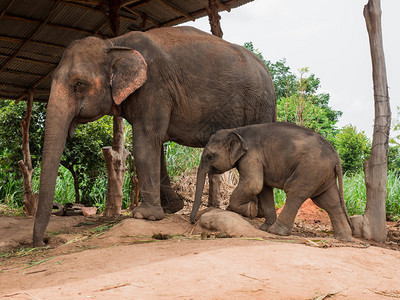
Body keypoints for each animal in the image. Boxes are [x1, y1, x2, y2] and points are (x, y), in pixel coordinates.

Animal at [32, 26, 276, 246]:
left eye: (79, 84)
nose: (42, 242)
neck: (114, 43)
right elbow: (155, 144)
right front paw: (170, 208)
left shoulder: (154, 88)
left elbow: (145, 141)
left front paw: (144, 216)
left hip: (261, 105)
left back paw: (252, 212)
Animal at [191, 122, 354, 241]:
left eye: (209, 156)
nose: (192, 222)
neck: (238, 130)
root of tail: (336, 157)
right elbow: (263, 188)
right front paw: (262, 226)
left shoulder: (251, 156)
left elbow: (253, 184)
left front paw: (250, 210)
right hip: (324, 175)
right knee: (329, 202)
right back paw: (344, 238)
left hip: (310, 170)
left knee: (295, 193)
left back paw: (276, 231)